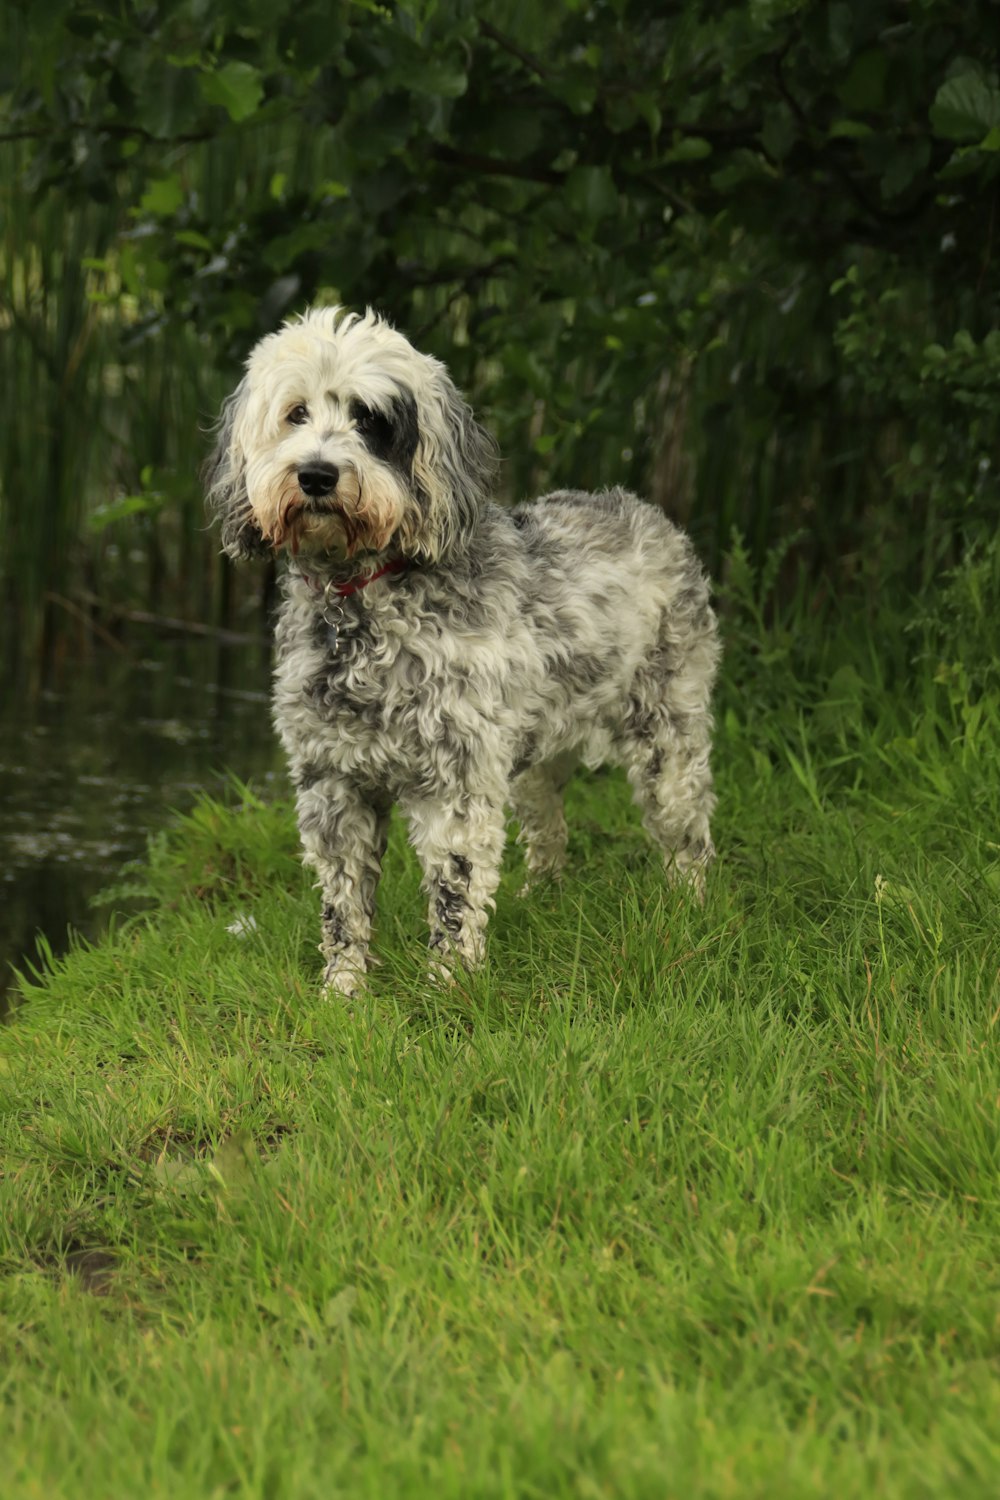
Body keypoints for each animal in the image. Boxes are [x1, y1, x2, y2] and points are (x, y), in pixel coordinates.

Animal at [205, 304, 719, 996]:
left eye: (370, 419)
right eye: (296, 413)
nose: (315, 474)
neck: (364, 603)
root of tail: (646, 511)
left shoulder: (457, 779)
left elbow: (454, 887)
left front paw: (448, 985)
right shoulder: (331, 783)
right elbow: (343, 903)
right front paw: (343, 989)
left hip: (667, 739)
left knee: (686, 834)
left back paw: (690, 906)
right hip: (532, 761)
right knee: (549, 829)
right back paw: (542, 897)